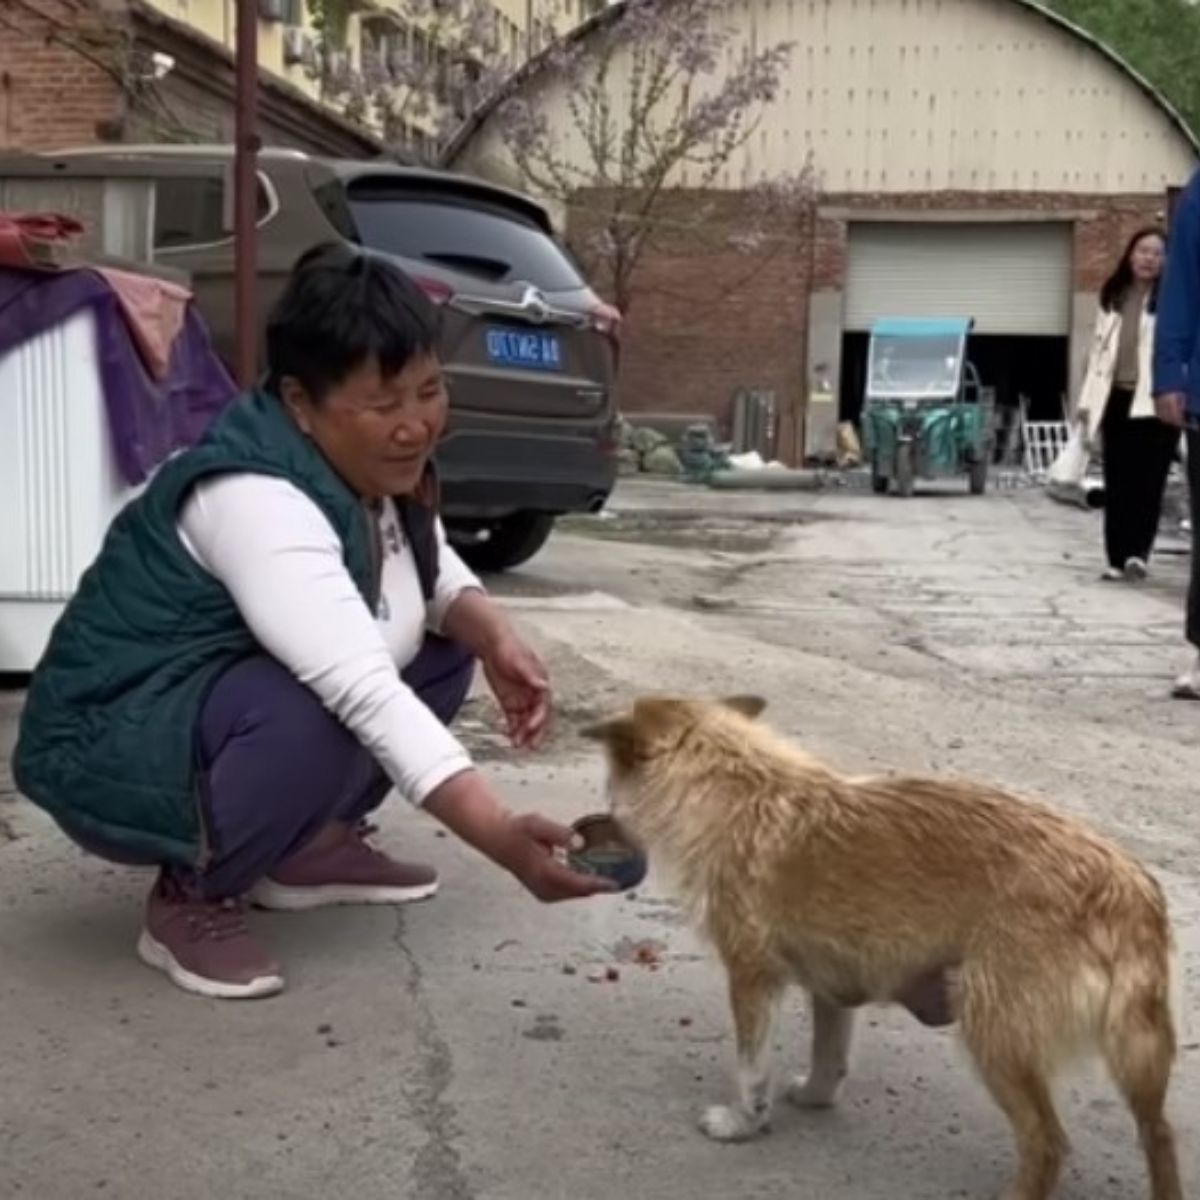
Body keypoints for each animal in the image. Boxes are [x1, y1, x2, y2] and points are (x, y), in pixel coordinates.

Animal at [580, 696, 1180, 1200]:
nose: (604, 815)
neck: (738, 787)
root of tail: (1127, 892)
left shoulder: (751, 977)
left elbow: (752, 1068)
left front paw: (742, 1121)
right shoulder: (832, 987)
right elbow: (829, 1055)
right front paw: (815, 1096)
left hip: (995, 1033)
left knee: (1047, 1143)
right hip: (1137, 1062)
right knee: (1159, 1135)